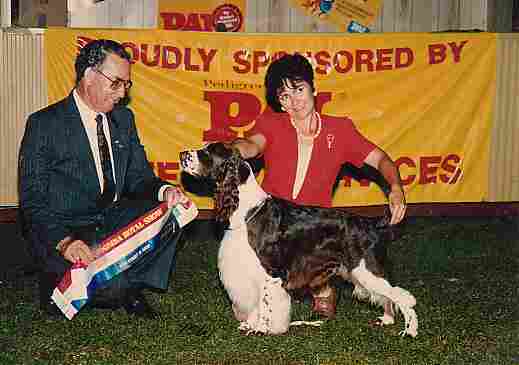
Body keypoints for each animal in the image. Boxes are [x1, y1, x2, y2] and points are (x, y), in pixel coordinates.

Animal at [179, 142, 418, 336]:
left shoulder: (270, 272)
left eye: (207, 152)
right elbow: (255, 302)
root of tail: (372, 223)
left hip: (367, 268)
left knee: (403, 296)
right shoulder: (249, 272)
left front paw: (261, 329)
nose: (182, 154)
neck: (247, 211)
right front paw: (249, 324)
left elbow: (265, 303)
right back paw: (387, 320)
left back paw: (410, 330)